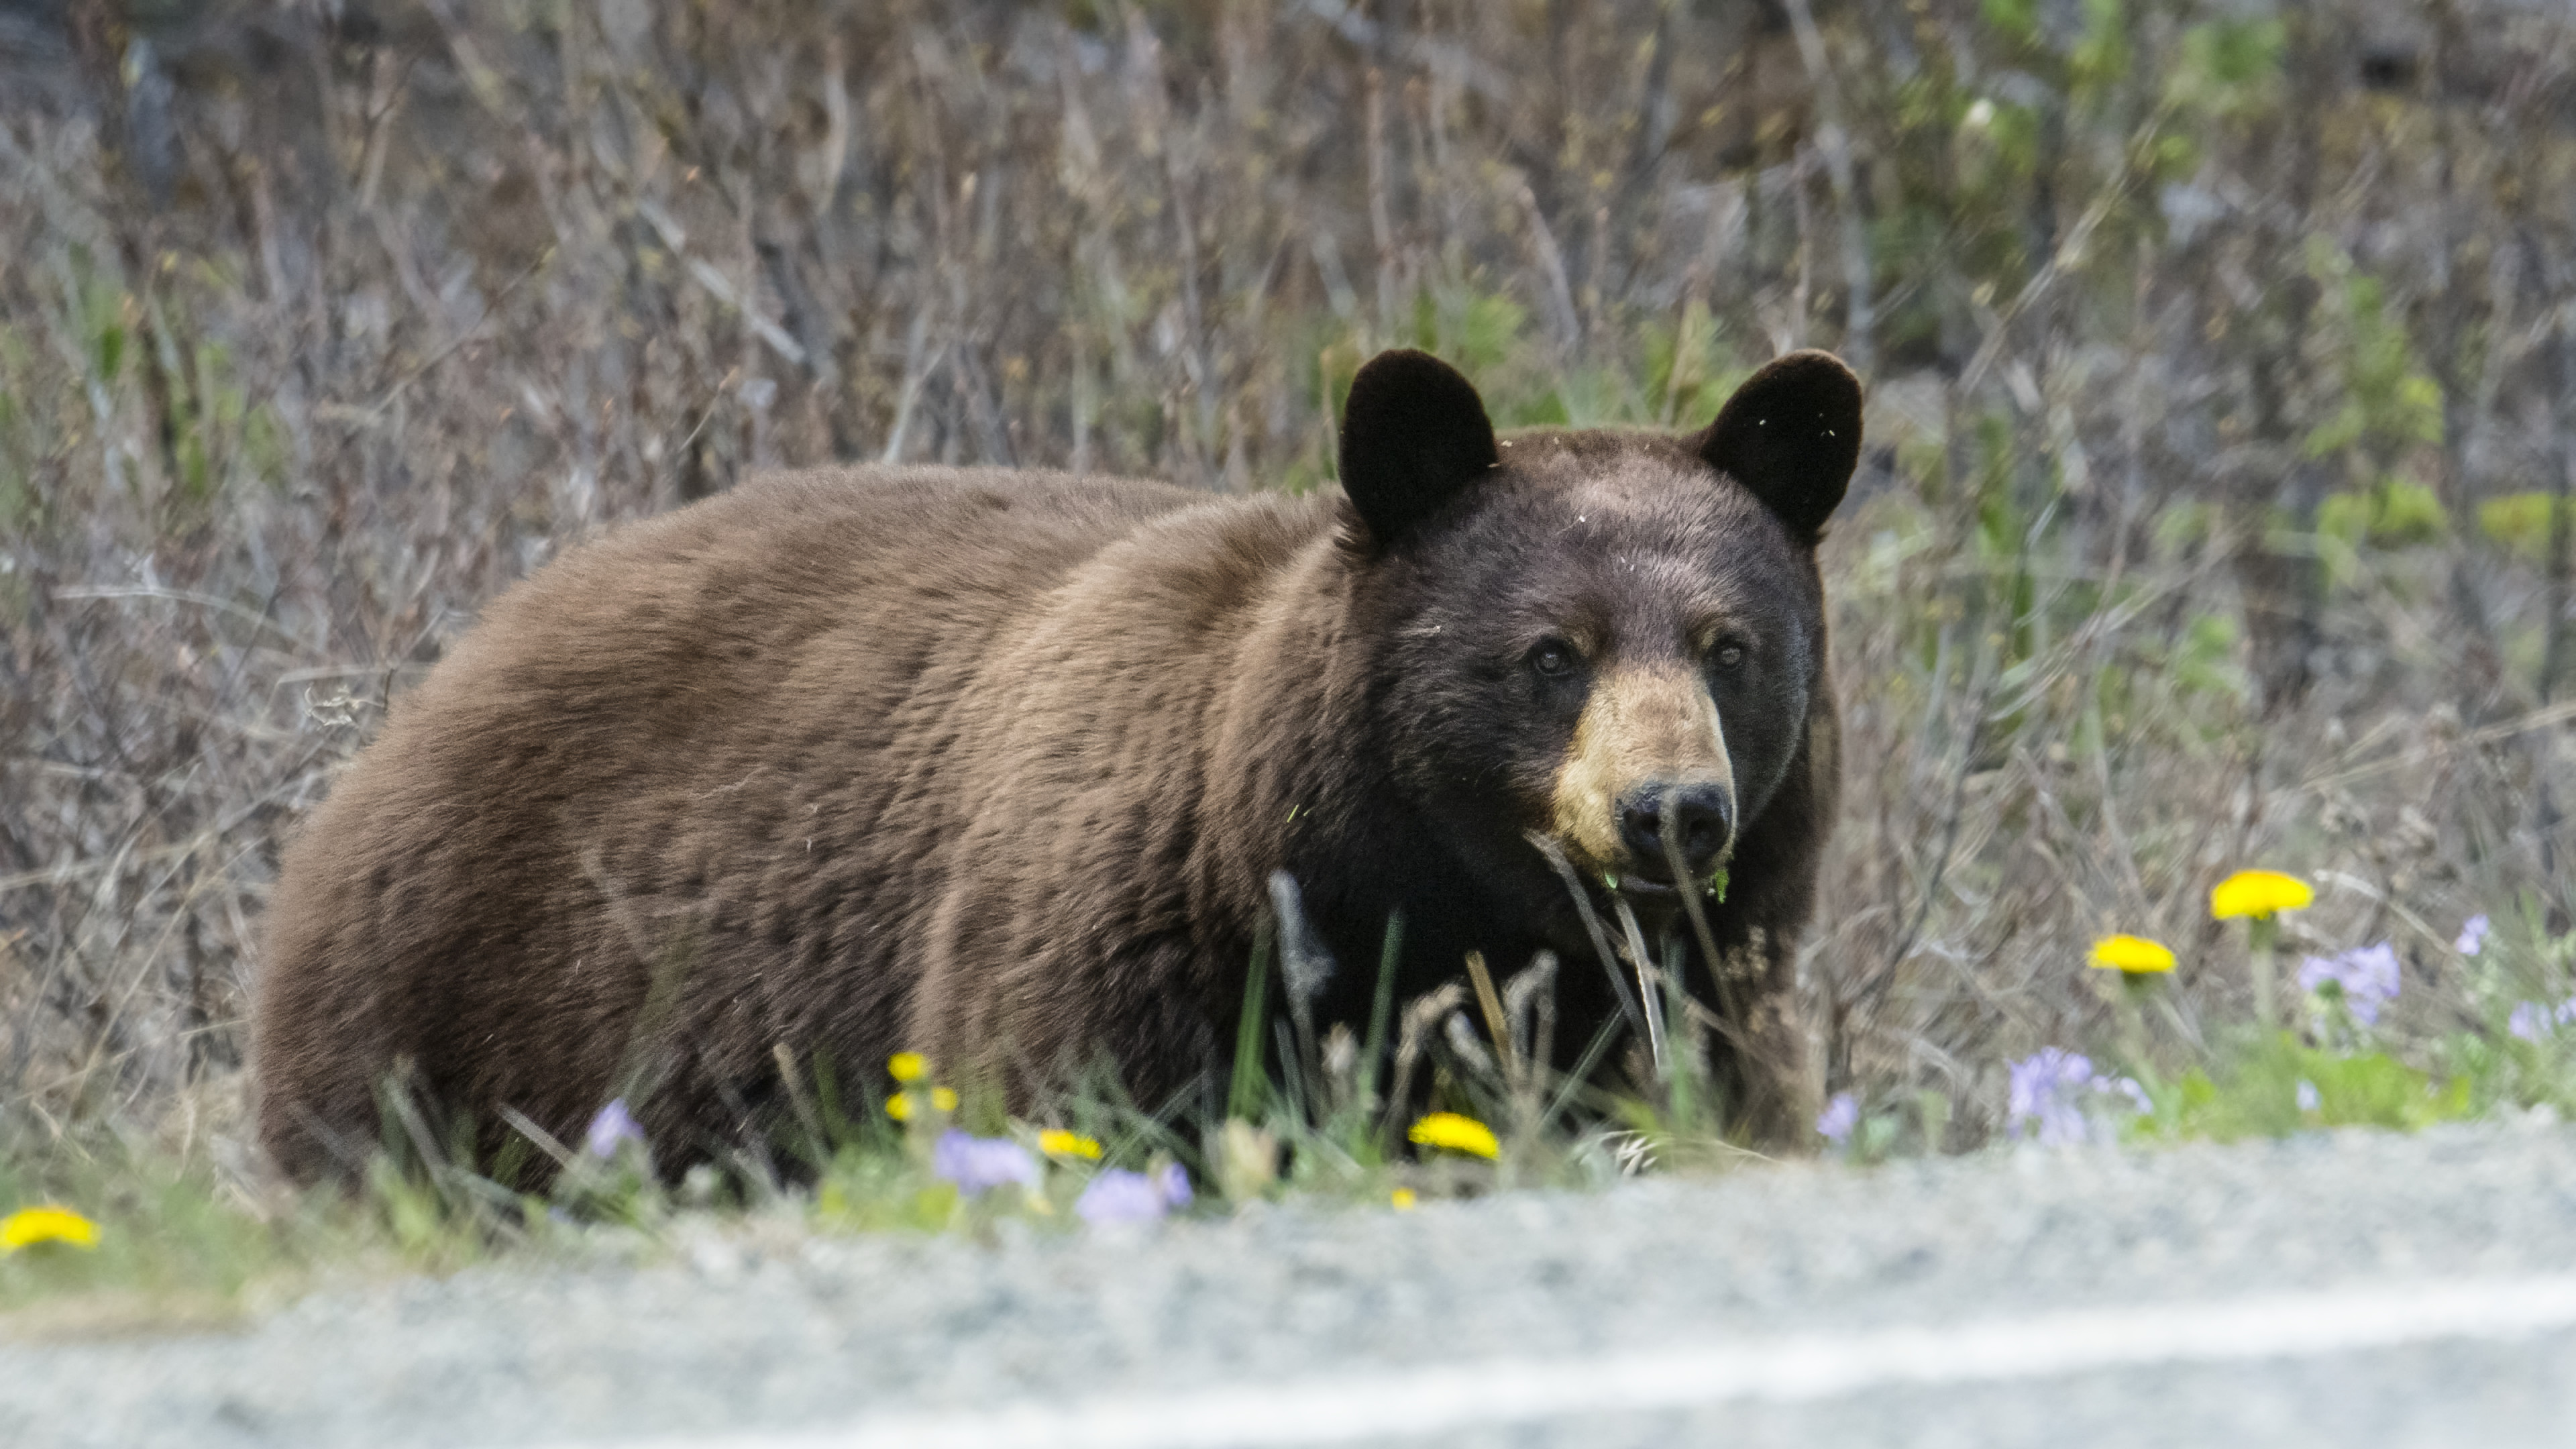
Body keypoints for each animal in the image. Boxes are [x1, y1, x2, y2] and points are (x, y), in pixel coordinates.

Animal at [252, 347, 1861, 1180]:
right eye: (1550, 653)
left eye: (1728, 645)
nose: (1671, 814)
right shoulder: (1112, 934)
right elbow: (1062, 1100)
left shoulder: (1713, 985)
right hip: (462, 998)